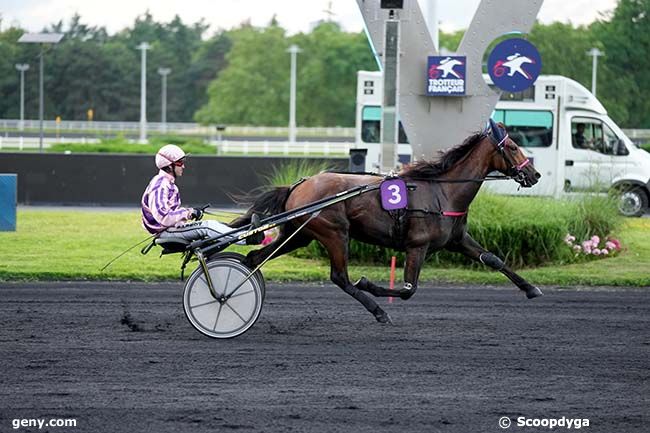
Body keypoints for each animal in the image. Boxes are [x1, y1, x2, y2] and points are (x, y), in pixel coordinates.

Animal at [232, 120, 540, 322]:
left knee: (254, 257)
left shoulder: (457, 239)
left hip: (299, 234)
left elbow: (493, 259)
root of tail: (299, 185)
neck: (442, 192)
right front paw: (368, 284)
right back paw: (378, 311)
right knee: (340, 277)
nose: (534, 175)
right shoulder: (418, 245)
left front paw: (531, 288)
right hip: (334, 233)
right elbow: (407, 290)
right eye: (512, 146)